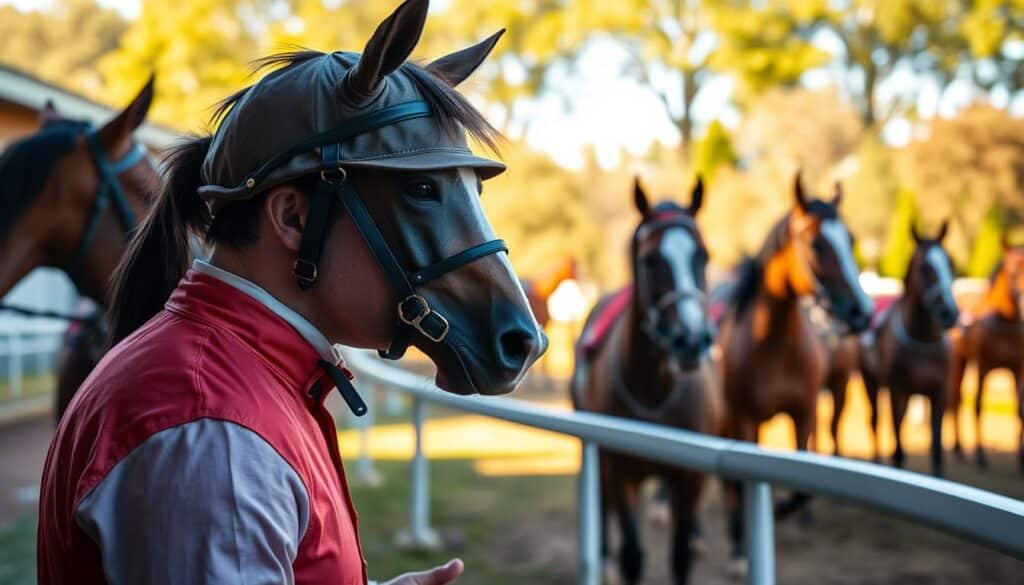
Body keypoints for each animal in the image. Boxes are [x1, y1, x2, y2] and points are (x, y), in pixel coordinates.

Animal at [573, 177, 716, 585]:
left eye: (703, 256)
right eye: (651, 259)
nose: (691, 341)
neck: (654, 391)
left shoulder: (690, 475)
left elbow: (680, 555)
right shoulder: (620, 470)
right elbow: (633, 556)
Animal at [712, 177, 872, 561]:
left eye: (851, 239)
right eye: (815, 243)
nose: (863, 311)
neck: (773, 347)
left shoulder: (804, 411)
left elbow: (802, 482)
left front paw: (785, 509)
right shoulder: (746, 420)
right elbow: (740, 478)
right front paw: (743, 540)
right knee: (728, 484)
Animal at [860, 222, 962, 477]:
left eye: (950, 263)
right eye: (925, 267)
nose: (949, 313)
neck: (923, 340)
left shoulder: (938, 392)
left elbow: (936, 448)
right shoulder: (897, 392)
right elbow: (898, 449)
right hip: (871, 382)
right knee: (874, 420)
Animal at [946, 237, 1019, 471]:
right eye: (1012, 271)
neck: (1005, 322)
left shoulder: (1018, 370)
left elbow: (1020, 408)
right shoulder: (982, 366)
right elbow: (978, 405)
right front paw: (980, 455)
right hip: (958, 362)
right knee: (956, 398)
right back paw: (958, 448)